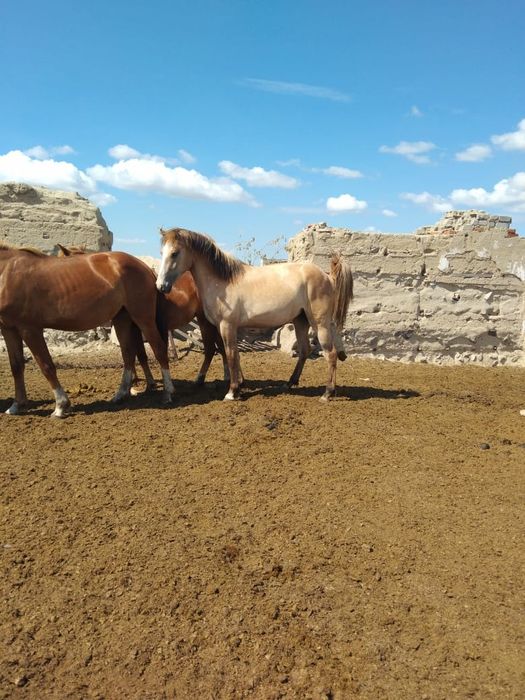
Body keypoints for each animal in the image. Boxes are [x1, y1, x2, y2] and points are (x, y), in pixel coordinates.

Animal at [0, 244, 175, 417]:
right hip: (122, 318)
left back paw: (167, 393)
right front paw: (17, 405)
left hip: (143, 318)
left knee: (159, 349)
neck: (7, 274)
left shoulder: (30, 329)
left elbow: (46, 366)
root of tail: (145, 267)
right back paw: (121, 394)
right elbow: (16, 366)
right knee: (128, 354)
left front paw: (61, 406)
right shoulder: (9, 329)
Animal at [156, 227, 353, 401]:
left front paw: (232, 392)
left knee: (331, 354)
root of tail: (327, 276)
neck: (223, 282)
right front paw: (238, 386)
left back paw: (327, 393)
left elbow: (231, 354)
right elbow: (230, 354)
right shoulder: (221, 326)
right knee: (305, 350)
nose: (161, 286)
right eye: (161, 252)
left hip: (319, 324)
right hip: (300, 321)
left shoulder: (227, 325)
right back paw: (290, 383)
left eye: (174, 253)